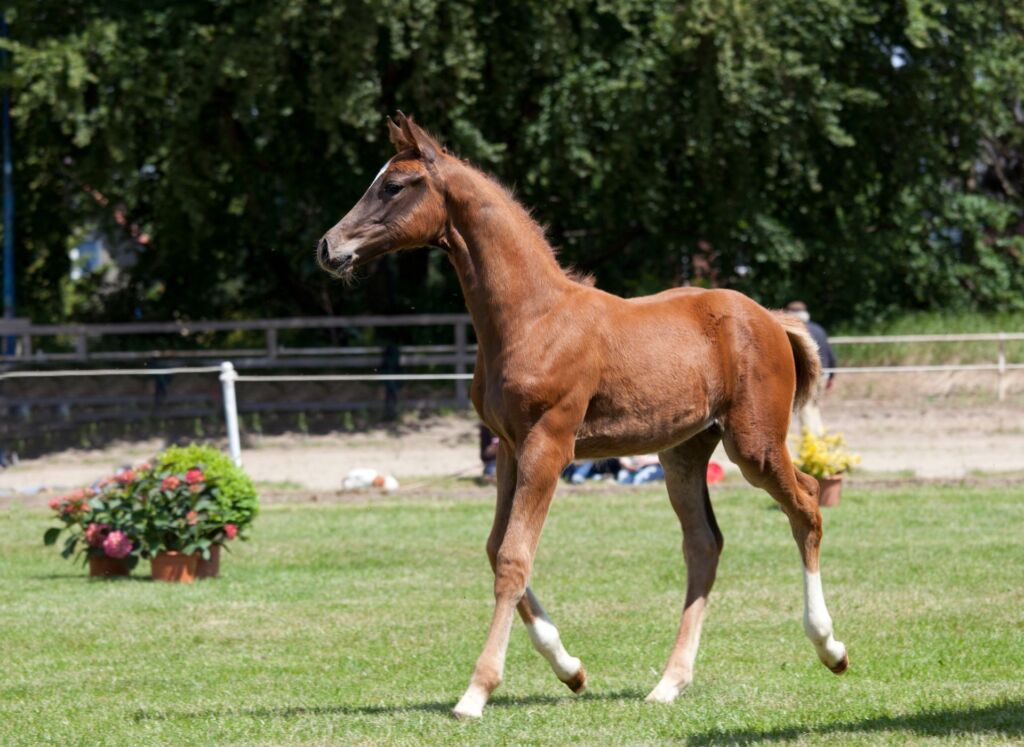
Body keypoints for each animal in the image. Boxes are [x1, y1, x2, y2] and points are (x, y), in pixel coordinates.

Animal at [317, 115, 847, 717]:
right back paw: (669, 683)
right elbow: (496, 549)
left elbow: (513, 559)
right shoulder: (509, 448)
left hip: (753, 443)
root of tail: (771, 319)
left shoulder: (549, 445)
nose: (328, 247)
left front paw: (476, 691)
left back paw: (830, 648)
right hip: (683, 452)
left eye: (394, 185)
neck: (532, 318)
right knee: (704, 544)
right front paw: (570, 669)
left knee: (807, 501)